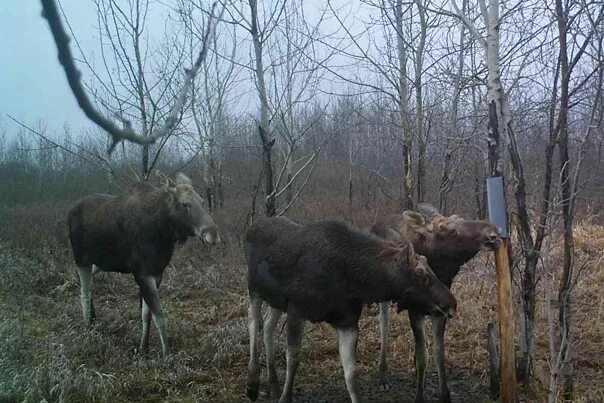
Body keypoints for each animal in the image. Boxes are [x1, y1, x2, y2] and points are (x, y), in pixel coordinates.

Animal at [68, 170, 219, 356]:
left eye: (202, 201)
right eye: (185, 204)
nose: (212, 233)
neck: (163, 232)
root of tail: (69, 211)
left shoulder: (157, 273)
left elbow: (146, 314)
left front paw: (143, 348)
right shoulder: (142, 274)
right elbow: (159, 315)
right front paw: (167, 353)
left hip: (99, 263)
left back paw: (94, 319)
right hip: (81, 260)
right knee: (84, 292)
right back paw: (88, 328)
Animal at [243, 218, 456, 403]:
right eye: (422, 275)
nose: (451, 304)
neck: (354, 281)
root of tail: (250, 228)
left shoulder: (347, 322)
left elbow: (351, 374)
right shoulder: (297, 310)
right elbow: (293, 359)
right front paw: (285, 397)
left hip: (276, 301)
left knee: (268, 326)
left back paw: (273, 385)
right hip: (254, 288)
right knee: (253, 323)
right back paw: (252, 383)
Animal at [370, 205, 498, 403]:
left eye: (459, 218)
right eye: (451, 230)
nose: (492, 232)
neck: (439, 271)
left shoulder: (442, 310)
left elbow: (439, 352)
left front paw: (444, 394)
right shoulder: (414, 309)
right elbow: (423, 356)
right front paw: (419, 396)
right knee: (384, 325)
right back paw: (383, 375)